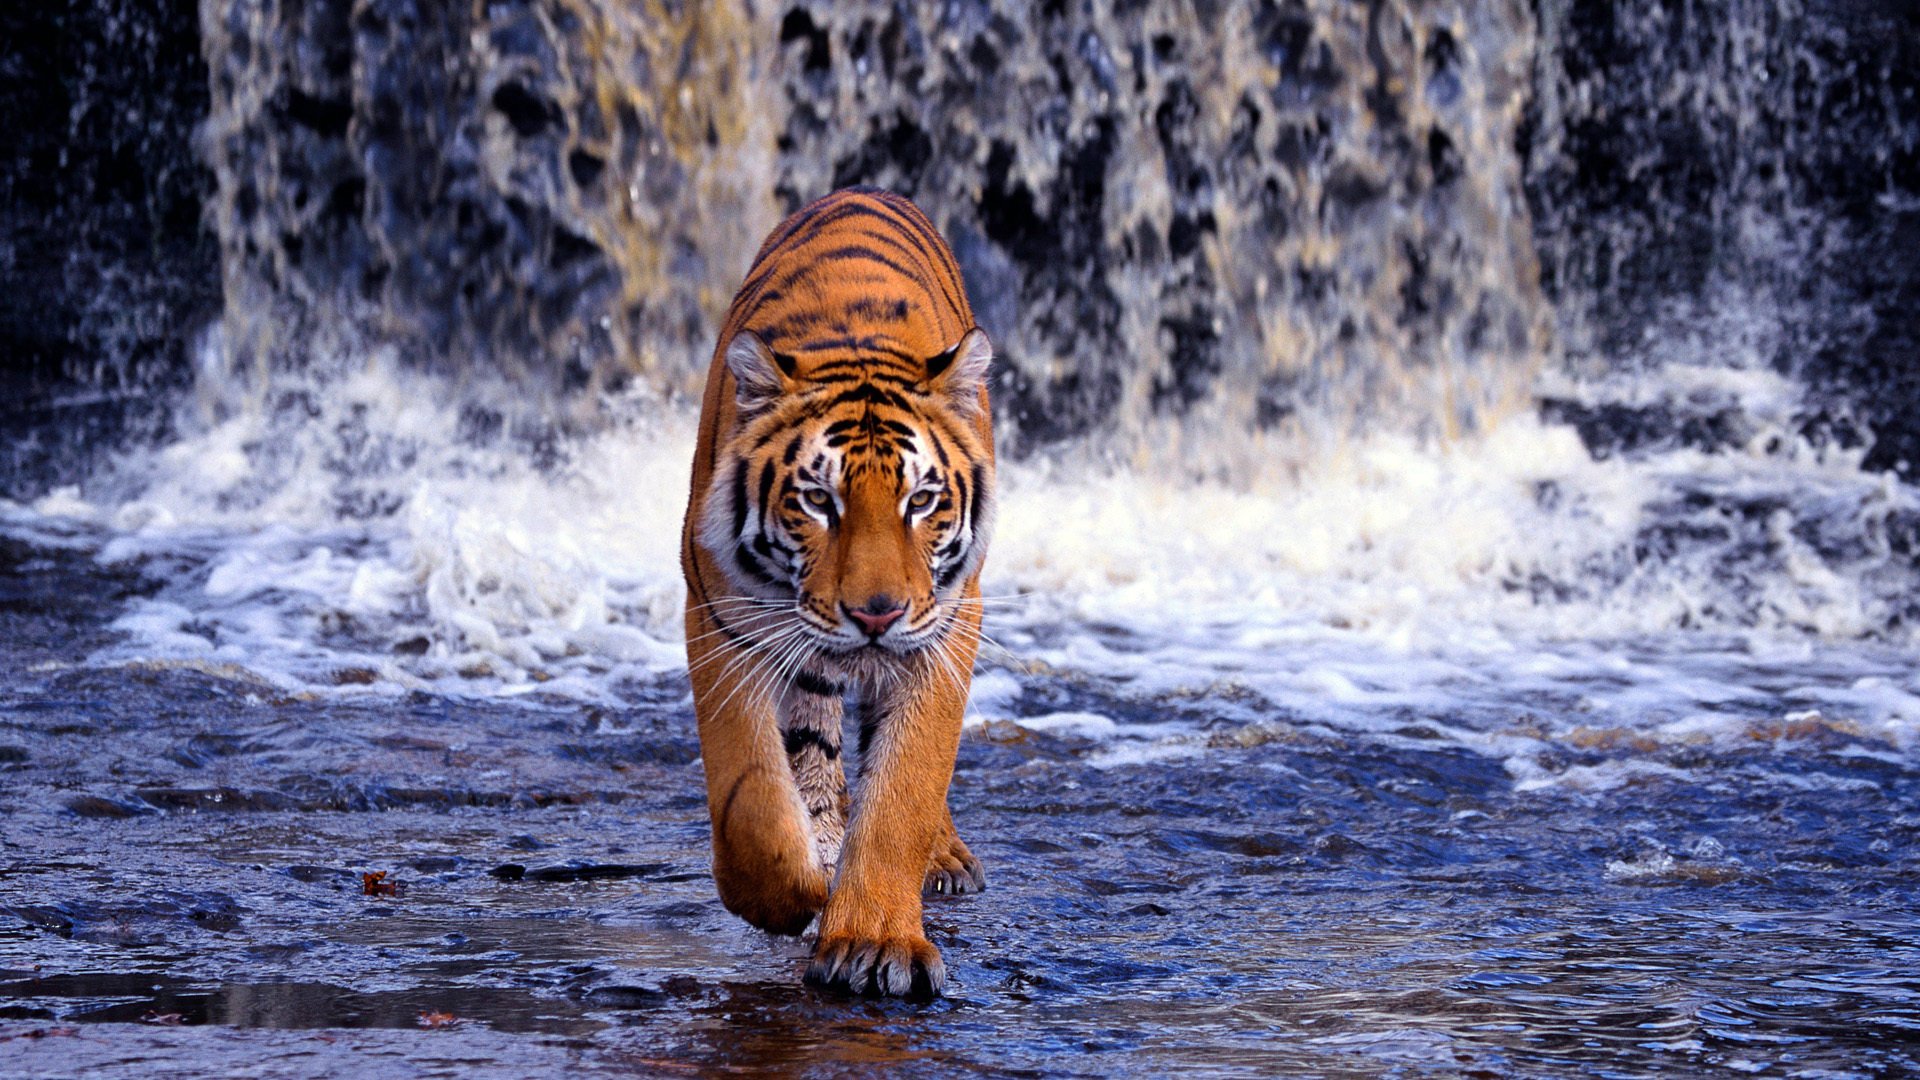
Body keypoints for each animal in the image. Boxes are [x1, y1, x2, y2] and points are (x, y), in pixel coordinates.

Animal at [680, 187, 996, 999]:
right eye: (819, 500)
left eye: (922, 501)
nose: (875, 614)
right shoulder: (723, 617)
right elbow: (752, 796)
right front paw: (791, 895)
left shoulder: (945, 628)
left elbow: (905, 788)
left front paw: (874, 941)